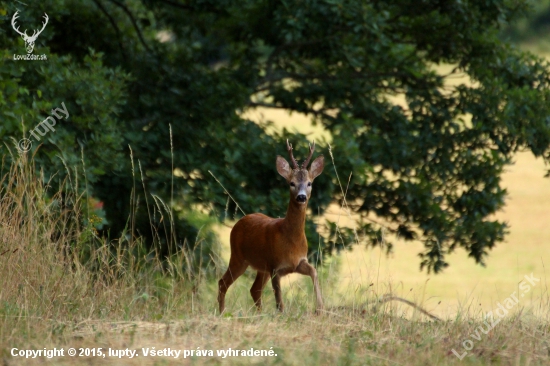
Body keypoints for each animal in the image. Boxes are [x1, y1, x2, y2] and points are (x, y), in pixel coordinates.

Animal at [219, 140, 326, 314]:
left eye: (309, 183)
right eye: (292, 183)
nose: (301, 197)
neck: (291, 240)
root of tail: (241, 220)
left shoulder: (298, 261)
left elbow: (314, 271)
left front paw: (320, 308)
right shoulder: (275, 266)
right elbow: (279, 302)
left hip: (261, 267)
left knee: (254, 289)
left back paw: (259, 314)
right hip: (238, 256)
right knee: (223, 282)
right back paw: (222, 312)